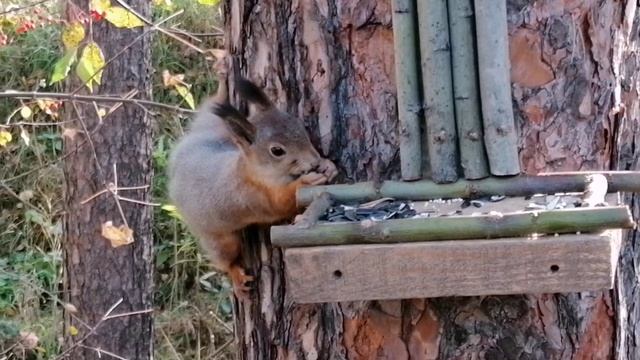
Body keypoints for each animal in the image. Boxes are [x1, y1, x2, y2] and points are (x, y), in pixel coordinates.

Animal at [168, 55, 338, 298]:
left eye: (299, 125)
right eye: (277, 151)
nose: (314, 162)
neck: (251, 171)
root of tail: (178, 160)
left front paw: (327, 165)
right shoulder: (254, 197)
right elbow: (282, 203)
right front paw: (305, 182)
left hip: (213, 126)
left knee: (210, 107)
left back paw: (223, 76)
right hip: (218, 237)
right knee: (224, 258)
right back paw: (237, 277)